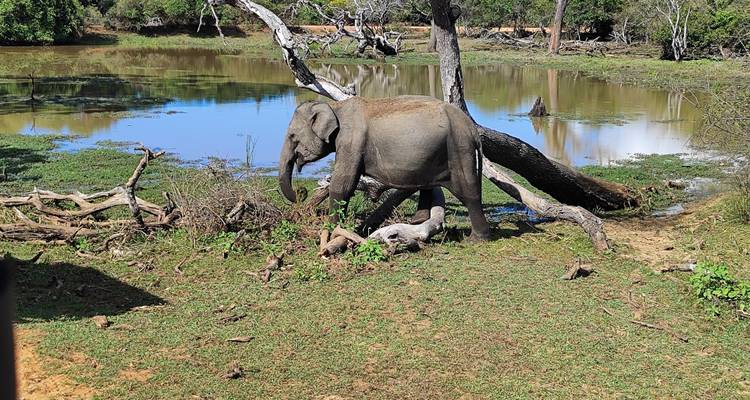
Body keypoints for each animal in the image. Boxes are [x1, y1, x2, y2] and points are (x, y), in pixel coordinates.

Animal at [278, 95, 491, 240]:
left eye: (292, 136)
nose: (300, 192)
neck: (336, 107)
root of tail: (472, 129)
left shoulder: (351, 143)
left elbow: (343, 184)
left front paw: (331, 232)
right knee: (429, 184)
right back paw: (418, 221)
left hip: (459, 150)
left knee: (469, 192)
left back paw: (477, 239)